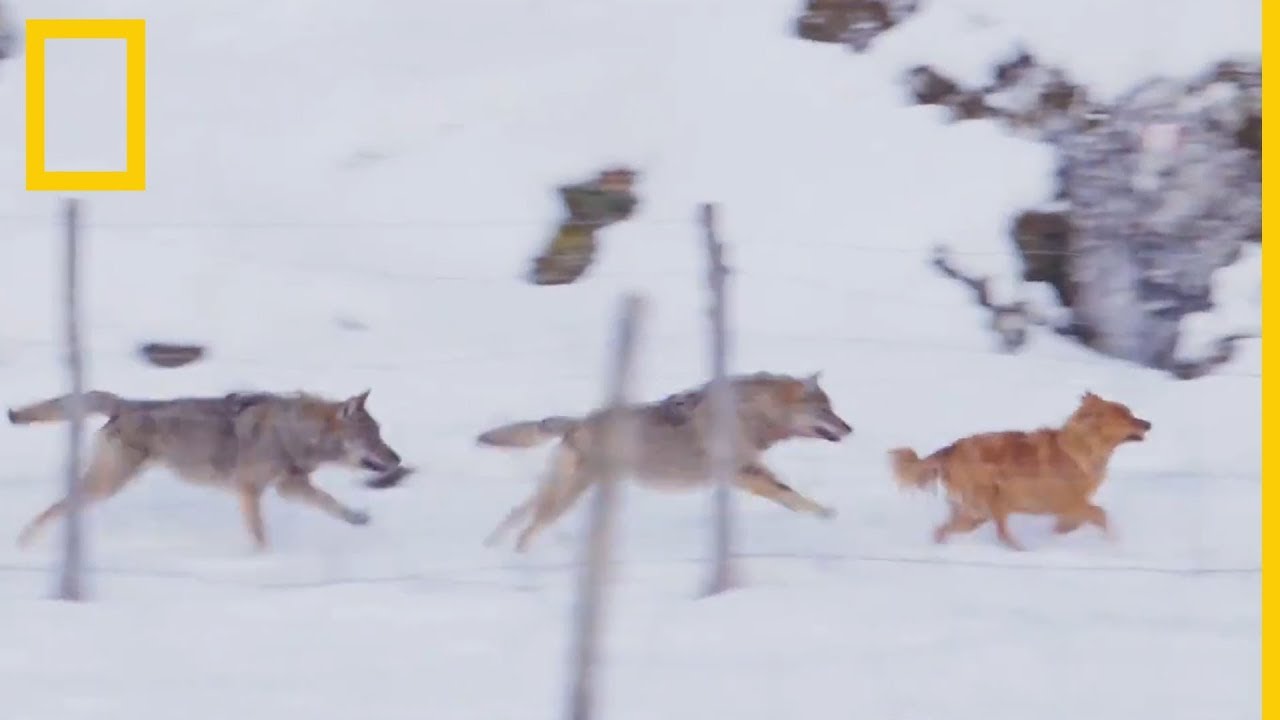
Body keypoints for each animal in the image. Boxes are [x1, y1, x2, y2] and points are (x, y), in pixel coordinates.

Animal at [7, 388, 403, 551]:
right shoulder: (251, 491)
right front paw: (264, 562)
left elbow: (331, 504)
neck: (294, 432)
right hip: (107, 485)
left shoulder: (290, 487)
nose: (398, 459)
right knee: (55, 509)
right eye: (372, 437)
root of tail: (125, 404)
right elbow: (261, 536)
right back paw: (25, 544)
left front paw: (357, 517)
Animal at [476, 371, 853, 552]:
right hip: (569, 495)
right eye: (825, 410)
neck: (752, 413)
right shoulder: (746, 474)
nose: (850, 429)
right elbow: (793, 496)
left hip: (556, 490)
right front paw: (828, 516)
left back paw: (493, 550)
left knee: (516, 515)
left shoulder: (746, 474)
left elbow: (790, 496)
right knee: (528, 528)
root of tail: (578, 422)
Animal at [888, 391, 1151, 551]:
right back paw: (1022, 551)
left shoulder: (1070, 507)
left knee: (942, 530)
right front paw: (1113, 541)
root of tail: (950, 450)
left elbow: (1076, 522)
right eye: (1126, 416)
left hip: (974, 514)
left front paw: (1061, 536)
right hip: (990, 503)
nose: (1149, 424)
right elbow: (1099, 514)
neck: (1082, 446)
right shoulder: (1068, 503)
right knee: (1001, 534)